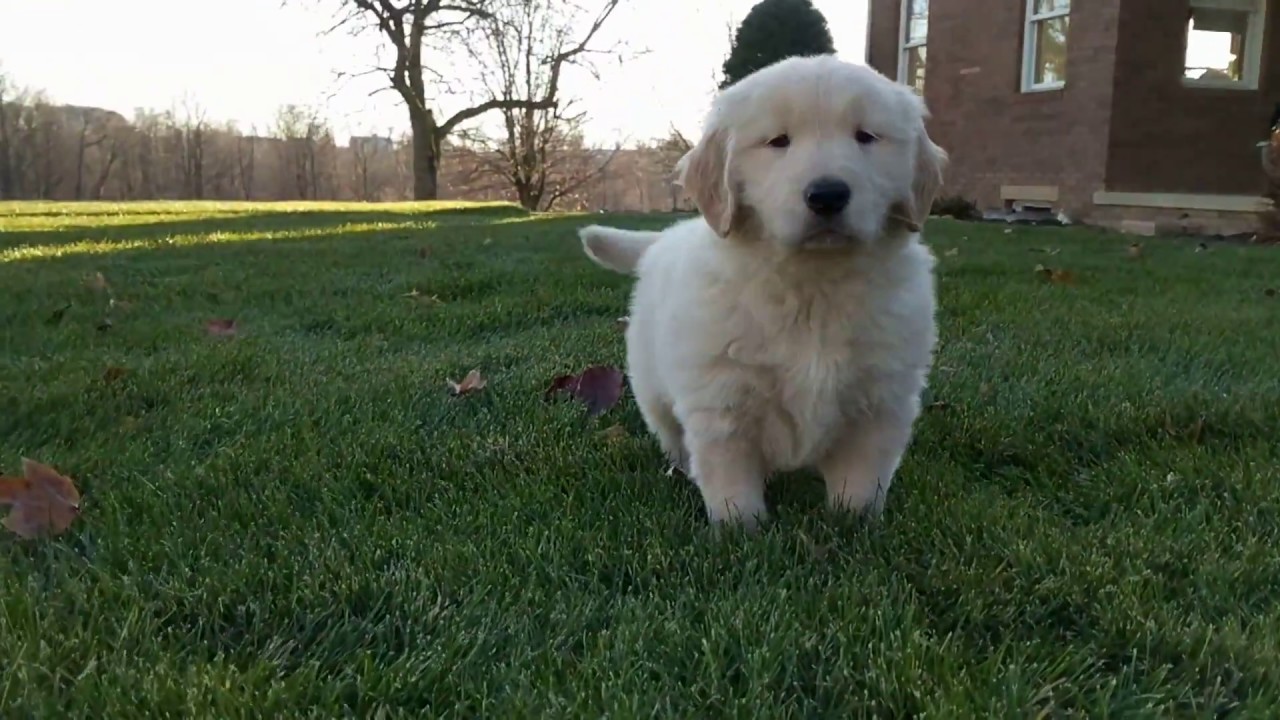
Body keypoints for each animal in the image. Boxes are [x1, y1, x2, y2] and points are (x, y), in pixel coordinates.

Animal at [581, 54, 952, 527]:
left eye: (866, 137)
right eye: (778, 142)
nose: (827, 194)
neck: (813, 284)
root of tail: (664, 238)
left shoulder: (881, 400)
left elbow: (861, 478)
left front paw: (855, 522)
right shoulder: (720, 398)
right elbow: (730, 476)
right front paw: (740, 528)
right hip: (651, 384)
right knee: (670, 431)